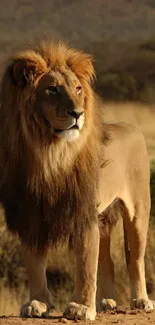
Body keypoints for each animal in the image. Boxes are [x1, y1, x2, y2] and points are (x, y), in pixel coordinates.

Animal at [0, 41, 153, 318]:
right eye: (52, 89)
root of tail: (131, 127)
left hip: (138, 211)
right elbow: (34, 263)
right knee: (108, 260)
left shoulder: (83, 212)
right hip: (104, 218)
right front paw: (38, 302)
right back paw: (106, 301)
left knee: (135, 258)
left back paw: (141, 300)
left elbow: (85, 263)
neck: (49, 153)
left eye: (77, 88)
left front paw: (81, 307)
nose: (78, 113)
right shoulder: (30, 212)